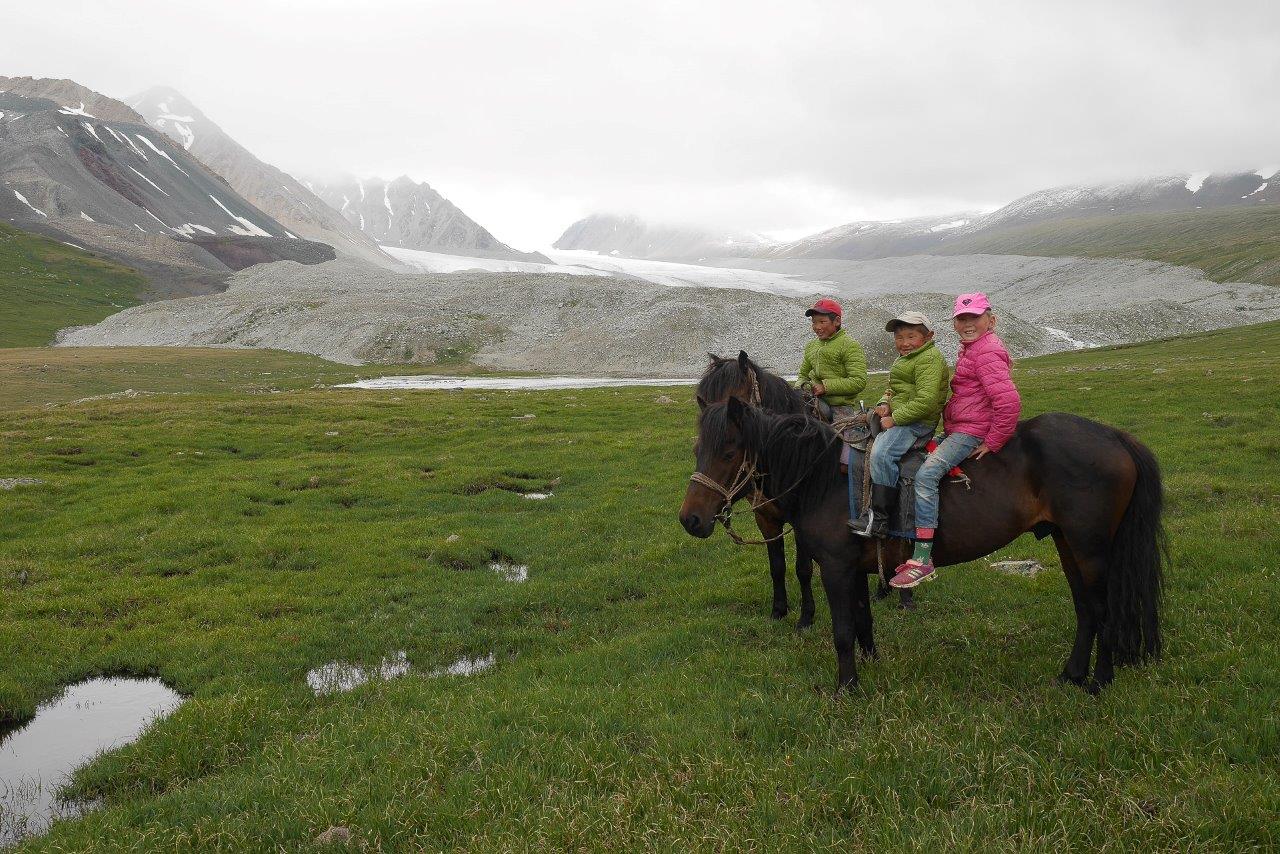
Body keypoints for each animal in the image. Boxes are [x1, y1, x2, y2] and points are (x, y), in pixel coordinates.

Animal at [686, 396, 1167, 696]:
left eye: (728, 452)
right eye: (697, 450)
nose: (690, 519)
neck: (824, 477)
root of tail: (1116, 437)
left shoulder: (836, 568)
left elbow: (842, 631)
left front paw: (846, 689)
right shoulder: (855, 568)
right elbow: (862, 621)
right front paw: (869, 667)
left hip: (1091, 550)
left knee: (1102, 610)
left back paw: (1099, 682)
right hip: (1068, 545)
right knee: (1085, 610)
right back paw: (1071, 675)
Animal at [696, 348, 916, 622]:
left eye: (732, 400)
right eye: (702, 401)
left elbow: (803, 568)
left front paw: (806, 617)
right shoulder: (765, 519)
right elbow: (777, 566)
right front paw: (779, 610)